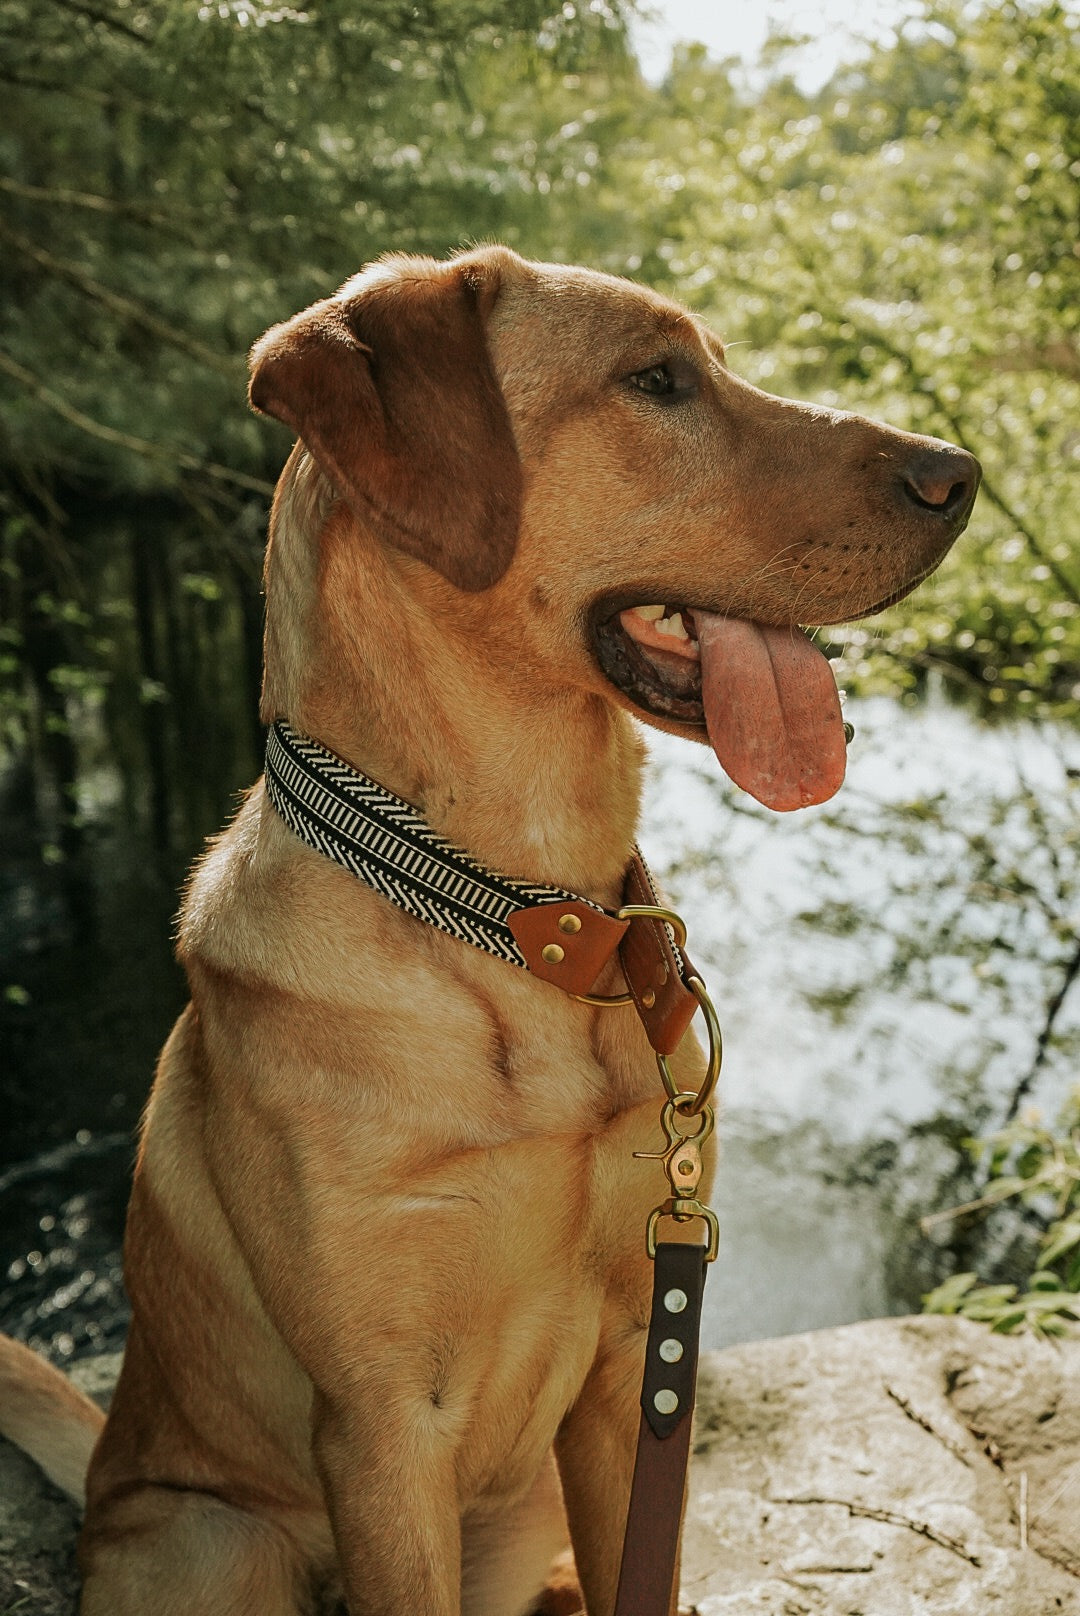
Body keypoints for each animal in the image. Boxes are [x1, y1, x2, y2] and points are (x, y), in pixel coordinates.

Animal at [0, 242, 976, 1616]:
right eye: (657, 380)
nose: (962, 472)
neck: (522, 921)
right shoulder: (383, 1426)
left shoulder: (634, 1365)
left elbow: (646, 1572)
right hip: (211, 1538)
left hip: (530, 1511)